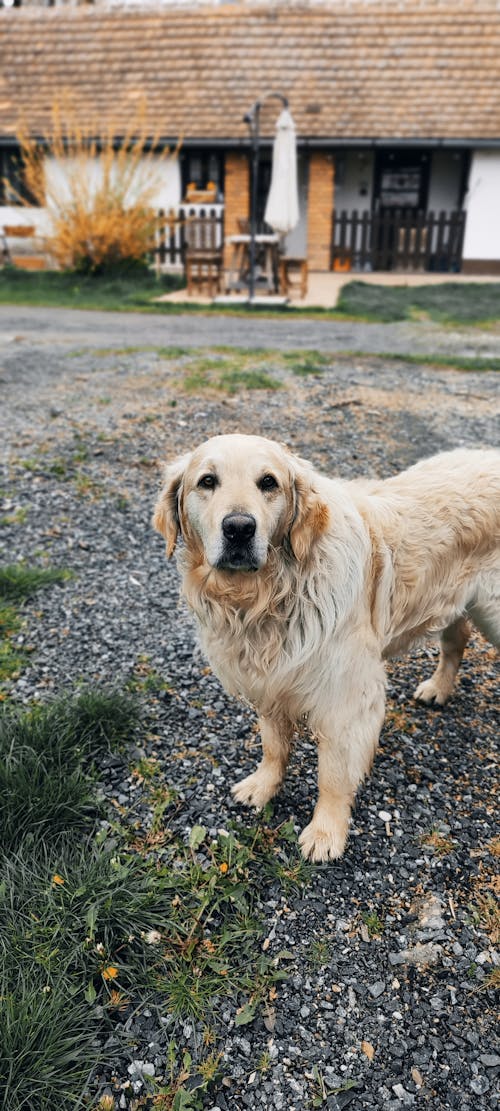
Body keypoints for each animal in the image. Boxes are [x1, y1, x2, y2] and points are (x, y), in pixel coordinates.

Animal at [153, 437, 500, 862]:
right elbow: (273, 745)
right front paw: (263, 785)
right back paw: (438, 688)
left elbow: (333, 773)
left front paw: (325, 831)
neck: (266, 596)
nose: (239, 528)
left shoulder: (346, 697)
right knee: (456, 641)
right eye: (207, 481)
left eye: (268, 482)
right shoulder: (271, 679)